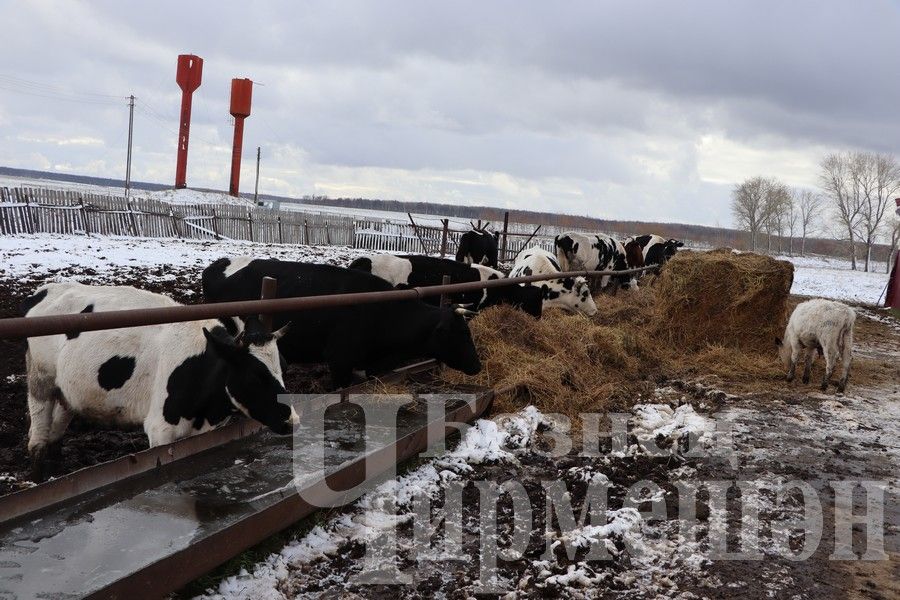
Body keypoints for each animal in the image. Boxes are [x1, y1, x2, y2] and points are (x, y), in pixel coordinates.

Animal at [21, 280, 296, 478]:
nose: (292, 420)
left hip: (66, 391)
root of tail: (47, 289)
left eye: (283, 367)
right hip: (40, 381)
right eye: (254, 376)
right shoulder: (160, 429)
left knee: (55, 431)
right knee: (37, 440)